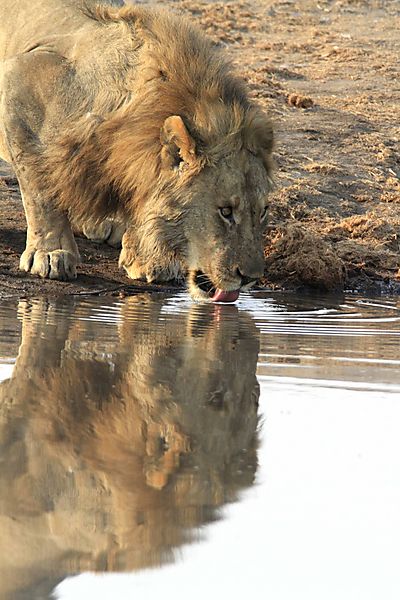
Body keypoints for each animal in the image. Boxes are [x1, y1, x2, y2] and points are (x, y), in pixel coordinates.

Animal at [0, 0, 272, 300]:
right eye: (225, 211)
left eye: (263, 211)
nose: (250, 278)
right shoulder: (18, 78)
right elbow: (41, 187)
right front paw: (51, 254)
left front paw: (146, 260)